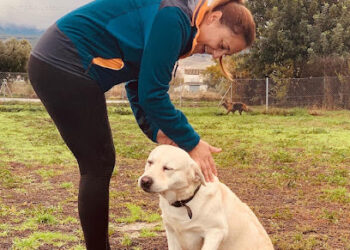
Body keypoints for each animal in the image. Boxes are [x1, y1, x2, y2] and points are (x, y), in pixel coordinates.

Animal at [139, 145, 274, 250]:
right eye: (150, 162)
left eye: (167, 168)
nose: (144, 181)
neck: (183, 202)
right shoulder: (171, 231)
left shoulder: (215, 232)